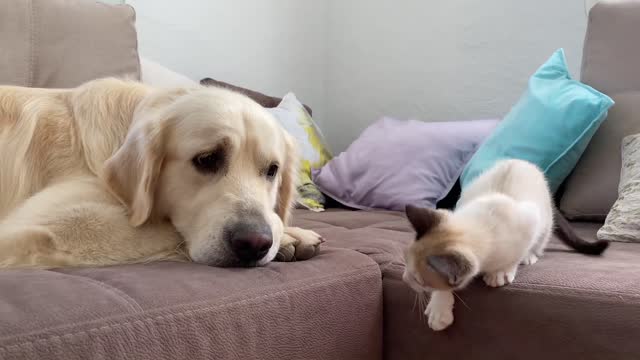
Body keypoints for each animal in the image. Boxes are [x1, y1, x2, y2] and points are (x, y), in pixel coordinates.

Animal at [0, 79, 322, 270]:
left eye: (272, 170)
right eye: (207, 159)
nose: (255, 243)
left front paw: (289, 233)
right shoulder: (38, 227)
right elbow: (169, 231)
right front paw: (289, 238)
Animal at [402, 159, 608, 330]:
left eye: (418, 280)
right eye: (405, 263)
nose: (404, 279)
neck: (481, 227)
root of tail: (518, 161)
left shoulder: (530, 219)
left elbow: (517, 252)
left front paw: (501, 272)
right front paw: (438, 309)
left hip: (545, 217)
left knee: (541, 240)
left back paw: (530, 256)